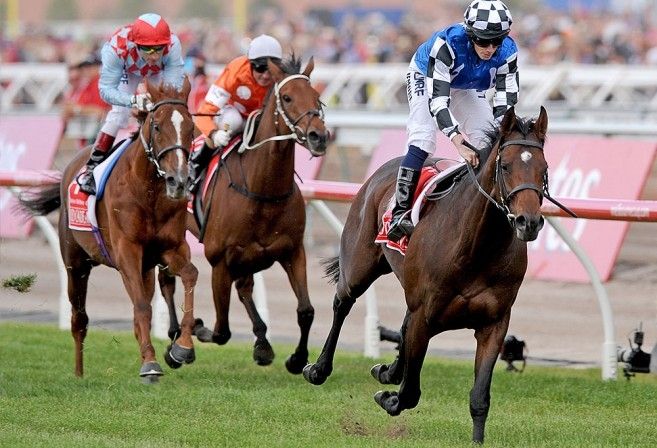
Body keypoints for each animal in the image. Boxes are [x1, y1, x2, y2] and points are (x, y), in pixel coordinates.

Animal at [18, 79, 197, 382]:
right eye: (157, 126)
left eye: (191, 128)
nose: (179, 181)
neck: (147, 191)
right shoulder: (127, 251)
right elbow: (141, 305)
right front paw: (151, 363)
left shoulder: (169, 248)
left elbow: (189, 276)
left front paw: (181, 348)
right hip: (75, 263)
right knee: (79, 318)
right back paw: (79, 373)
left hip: (144, 267)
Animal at [159, 55, 328, 374]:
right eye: (288, 97)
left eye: (318, 98)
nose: (318, 137)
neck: (262, 190)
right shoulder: (220, 261)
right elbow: (220, 331)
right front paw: (191, 333)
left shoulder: (292, 251)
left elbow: (306, 310)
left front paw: (297, 358)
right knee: (167, 281)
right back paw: (175, 335)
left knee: (244, 288)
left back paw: (261, 342)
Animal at [304, 107, 552, 442]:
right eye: (506, 165)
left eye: (544, 168)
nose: (529, 222)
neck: (475, 248)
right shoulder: (425, 315)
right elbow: (410, 392)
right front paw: (389, 398)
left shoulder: (494, 323)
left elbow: (479, 397)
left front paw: (477, 440)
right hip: (359, 266)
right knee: (343, 302)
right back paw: (318, 368)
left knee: (401, 324)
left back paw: (387, 370)